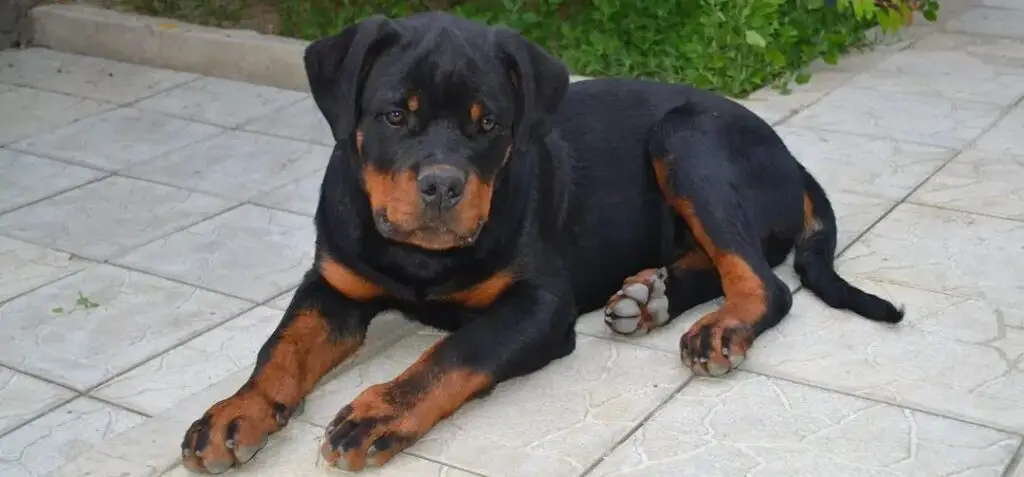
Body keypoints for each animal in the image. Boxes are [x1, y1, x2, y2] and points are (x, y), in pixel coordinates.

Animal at [180, 11, 901, 472]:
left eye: (488, 125)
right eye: (393, 115)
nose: (442, 184)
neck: (418, 260)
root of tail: (790, 156)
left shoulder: (538, 304)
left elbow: (456, 352)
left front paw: (381, 411)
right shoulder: (333, 283)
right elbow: (281, 347)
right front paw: (233, 414)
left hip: (686, 137)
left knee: (766, 281)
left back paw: (719, 326)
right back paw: (650, 296)